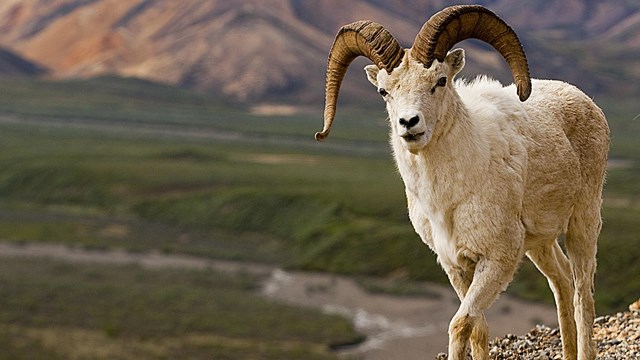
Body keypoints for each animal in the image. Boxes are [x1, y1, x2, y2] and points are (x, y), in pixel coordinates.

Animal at [316, 4, 608, 360]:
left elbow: (461, 324)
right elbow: (479, 328)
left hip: (583, 222)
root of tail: (585, 101)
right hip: (540, 243)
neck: (448, 200)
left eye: (440, 81)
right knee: (563, 282)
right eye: (384, 91)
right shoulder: (455, 265)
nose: (409, 123)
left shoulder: (496, 260)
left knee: (583, 295)